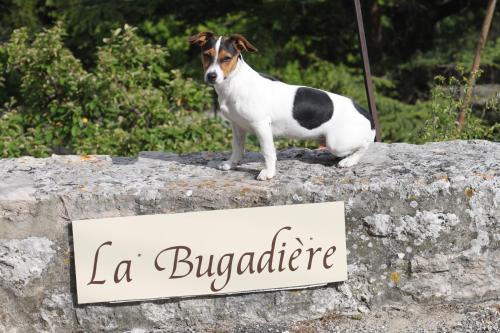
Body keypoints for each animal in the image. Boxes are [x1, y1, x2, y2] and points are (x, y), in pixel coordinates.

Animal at [189, 31, 374, 179]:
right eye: (206, 55)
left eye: (226, 58)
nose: (211, 76)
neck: (235, 82)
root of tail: (364, 112)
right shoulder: (237, 126)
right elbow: (237, 147)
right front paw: (231, 163)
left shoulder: (261, 126)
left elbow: (268, 152)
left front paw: (268, 173)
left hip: (337, 143)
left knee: (365, 145)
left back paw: (349, 161)